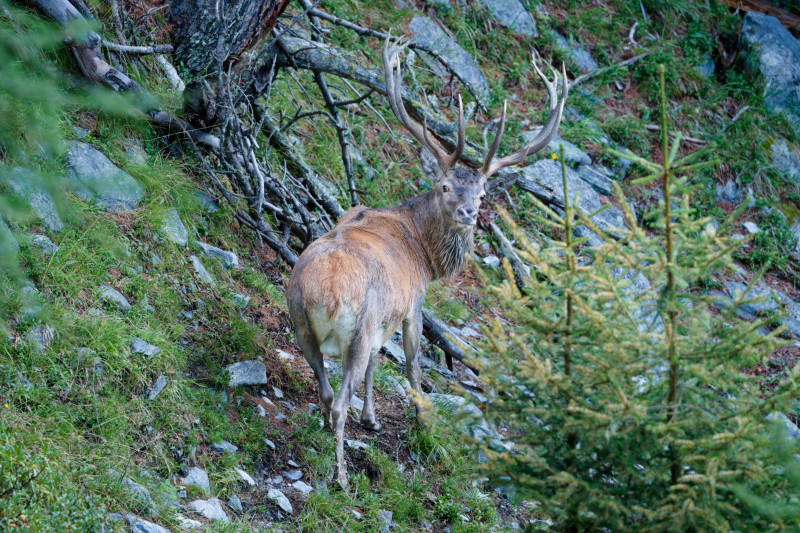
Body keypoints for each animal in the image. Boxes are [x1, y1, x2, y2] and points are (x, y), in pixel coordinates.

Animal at [287, 36, 569, 489]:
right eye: (446, 185)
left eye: (483, 193)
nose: (469, 213)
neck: (423, 251)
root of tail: (325, 291)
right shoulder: (413, 303)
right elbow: (414, 366)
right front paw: (424, 423)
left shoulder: (383, 319)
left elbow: (379, 362)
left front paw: (373, 419)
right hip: (357, 328)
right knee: (340, 398)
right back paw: (342, 477)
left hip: (299, 319)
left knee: (328, 390)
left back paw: (326, 430)